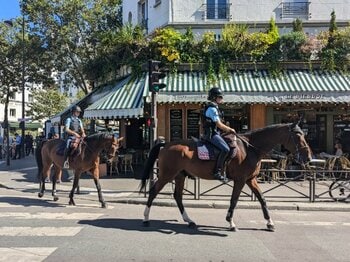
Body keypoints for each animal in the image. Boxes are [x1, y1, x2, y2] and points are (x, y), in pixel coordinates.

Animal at [139, 122, 312, 230]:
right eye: (298, 136)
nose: (309, 157)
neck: (250, 148)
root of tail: (166, 144)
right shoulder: (240, 180)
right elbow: (234, 200)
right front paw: (231, 222)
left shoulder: (251, 179)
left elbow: (262, 199)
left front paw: (269, 223)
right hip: (167, 175)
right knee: (153, 191)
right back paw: (146, 219)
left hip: (180, 176)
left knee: (178, 197)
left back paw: (189, 221)